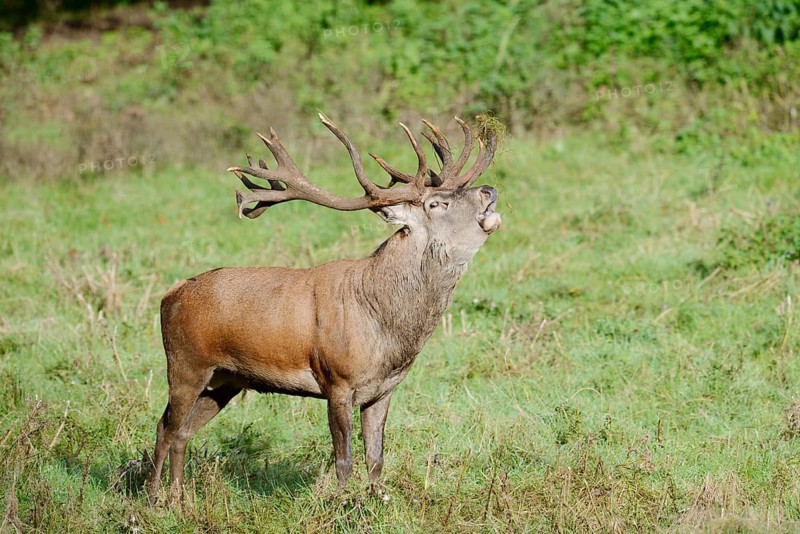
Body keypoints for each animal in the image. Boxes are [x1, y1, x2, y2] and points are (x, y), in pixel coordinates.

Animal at [147, 113, 501, 504]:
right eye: (437, 204)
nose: (489, 190)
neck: (386, 329)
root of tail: (169, 296)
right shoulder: (337, 380)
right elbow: (343, 461)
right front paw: (340, 504)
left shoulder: (384, 389)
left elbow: (375, 459)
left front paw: (377, 501)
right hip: (185, 364)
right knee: (165, 428)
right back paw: (154, 501)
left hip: (225, 380)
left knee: (183, 432)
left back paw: (178, 499)